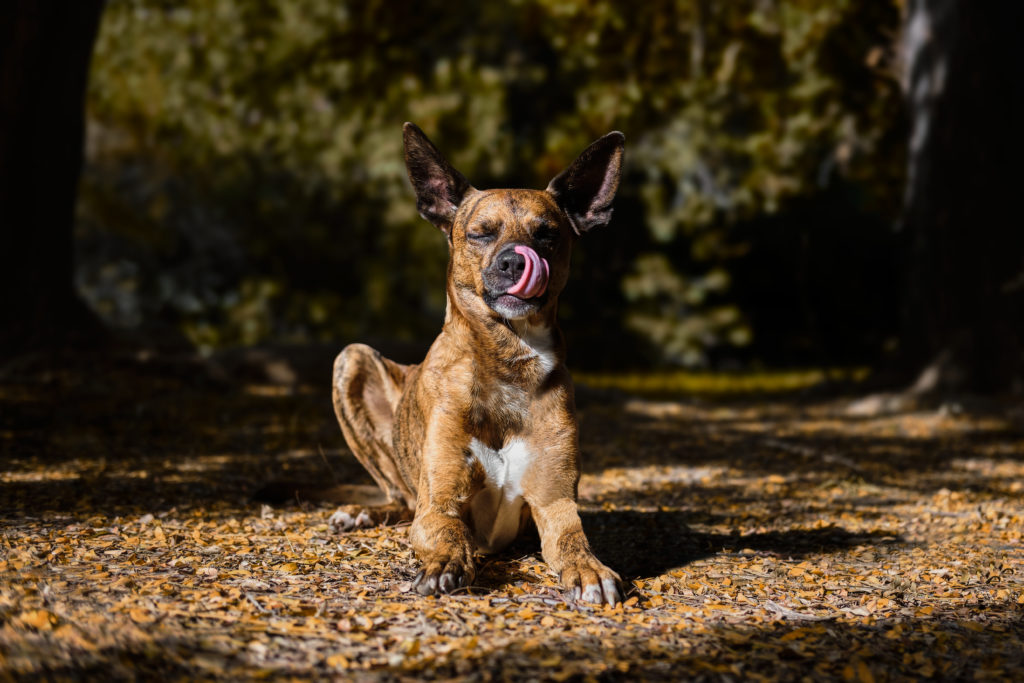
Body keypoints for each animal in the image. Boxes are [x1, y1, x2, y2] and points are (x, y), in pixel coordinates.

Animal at [333, 121, 622, 602]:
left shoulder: (555, 503)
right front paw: (445, 565)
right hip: (351, 360)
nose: (514, 262)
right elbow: (448, 534)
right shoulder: (440, 505)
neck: (508, 363)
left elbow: (573, 542)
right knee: (399, 497)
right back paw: (360, 513)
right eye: (481, 233)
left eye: (547, 234)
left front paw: (591, 570)